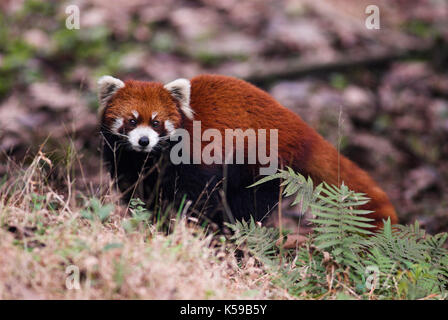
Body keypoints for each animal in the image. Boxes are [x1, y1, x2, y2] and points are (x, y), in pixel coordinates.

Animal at [99, 74, 400, 229]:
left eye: (157, 123)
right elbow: (139, 193)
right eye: (132, 121)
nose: (144, 141)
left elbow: (196, 197)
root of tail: (296, 125)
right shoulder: (125, 162)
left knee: (248, 205)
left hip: (259, 164)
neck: (148, 158)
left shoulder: (196, 159)